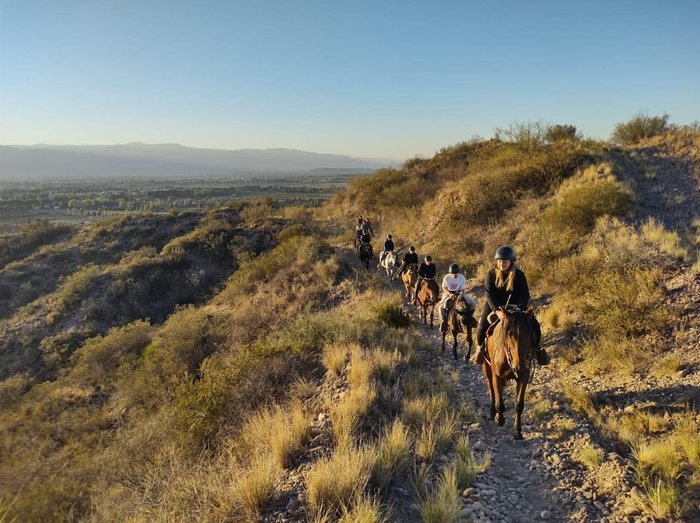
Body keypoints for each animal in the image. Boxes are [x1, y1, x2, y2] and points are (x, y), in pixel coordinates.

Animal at [482, 310, 536, 440]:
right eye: (510, 334)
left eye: (529, 333)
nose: (520, 368)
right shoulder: (497, 377)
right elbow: (500, 403)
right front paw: (499, 419)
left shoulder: (523, 377)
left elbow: (519, 404)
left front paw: (518, 432)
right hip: (487, 368)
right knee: (491, 389)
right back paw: (492, 413)